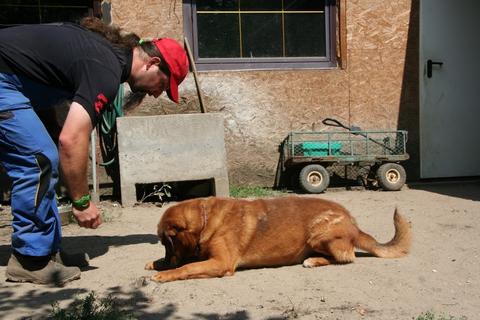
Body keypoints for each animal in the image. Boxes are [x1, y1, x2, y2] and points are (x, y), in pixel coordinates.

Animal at [144, 195, 410, 282]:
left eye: (167, 242)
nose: (165, 262)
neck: (206, 218)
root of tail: (354, 223)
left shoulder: (221, 263)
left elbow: (187, 267)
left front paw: (165, 273)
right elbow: (188, 262)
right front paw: (156, 263)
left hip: (319, 233)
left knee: (347, 257)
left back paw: (313, 261)